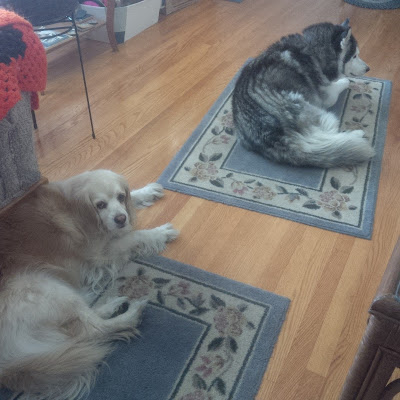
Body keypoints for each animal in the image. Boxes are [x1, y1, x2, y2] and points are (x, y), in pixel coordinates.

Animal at [0, 170, 179, 400]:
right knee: (94, 329)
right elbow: (134, 235)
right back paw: (132, 313)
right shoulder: (101, 253)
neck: (72, 205)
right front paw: (159, 233)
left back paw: (113, 304)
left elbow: (132, 201)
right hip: (45, 286)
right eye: (100, 205)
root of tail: (7, 367)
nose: (121, 219)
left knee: (88, 319)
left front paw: (146, 191)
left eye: (120, 196)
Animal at [231, 19, 375, 168]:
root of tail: (267, 137)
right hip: (308, 107)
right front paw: (345, 80)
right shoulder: (327, 97)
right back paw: (356, 134)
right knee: (327, 132)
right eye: (354, 56)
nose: (368, 68)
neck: (313, 50)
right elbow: (343, 81)